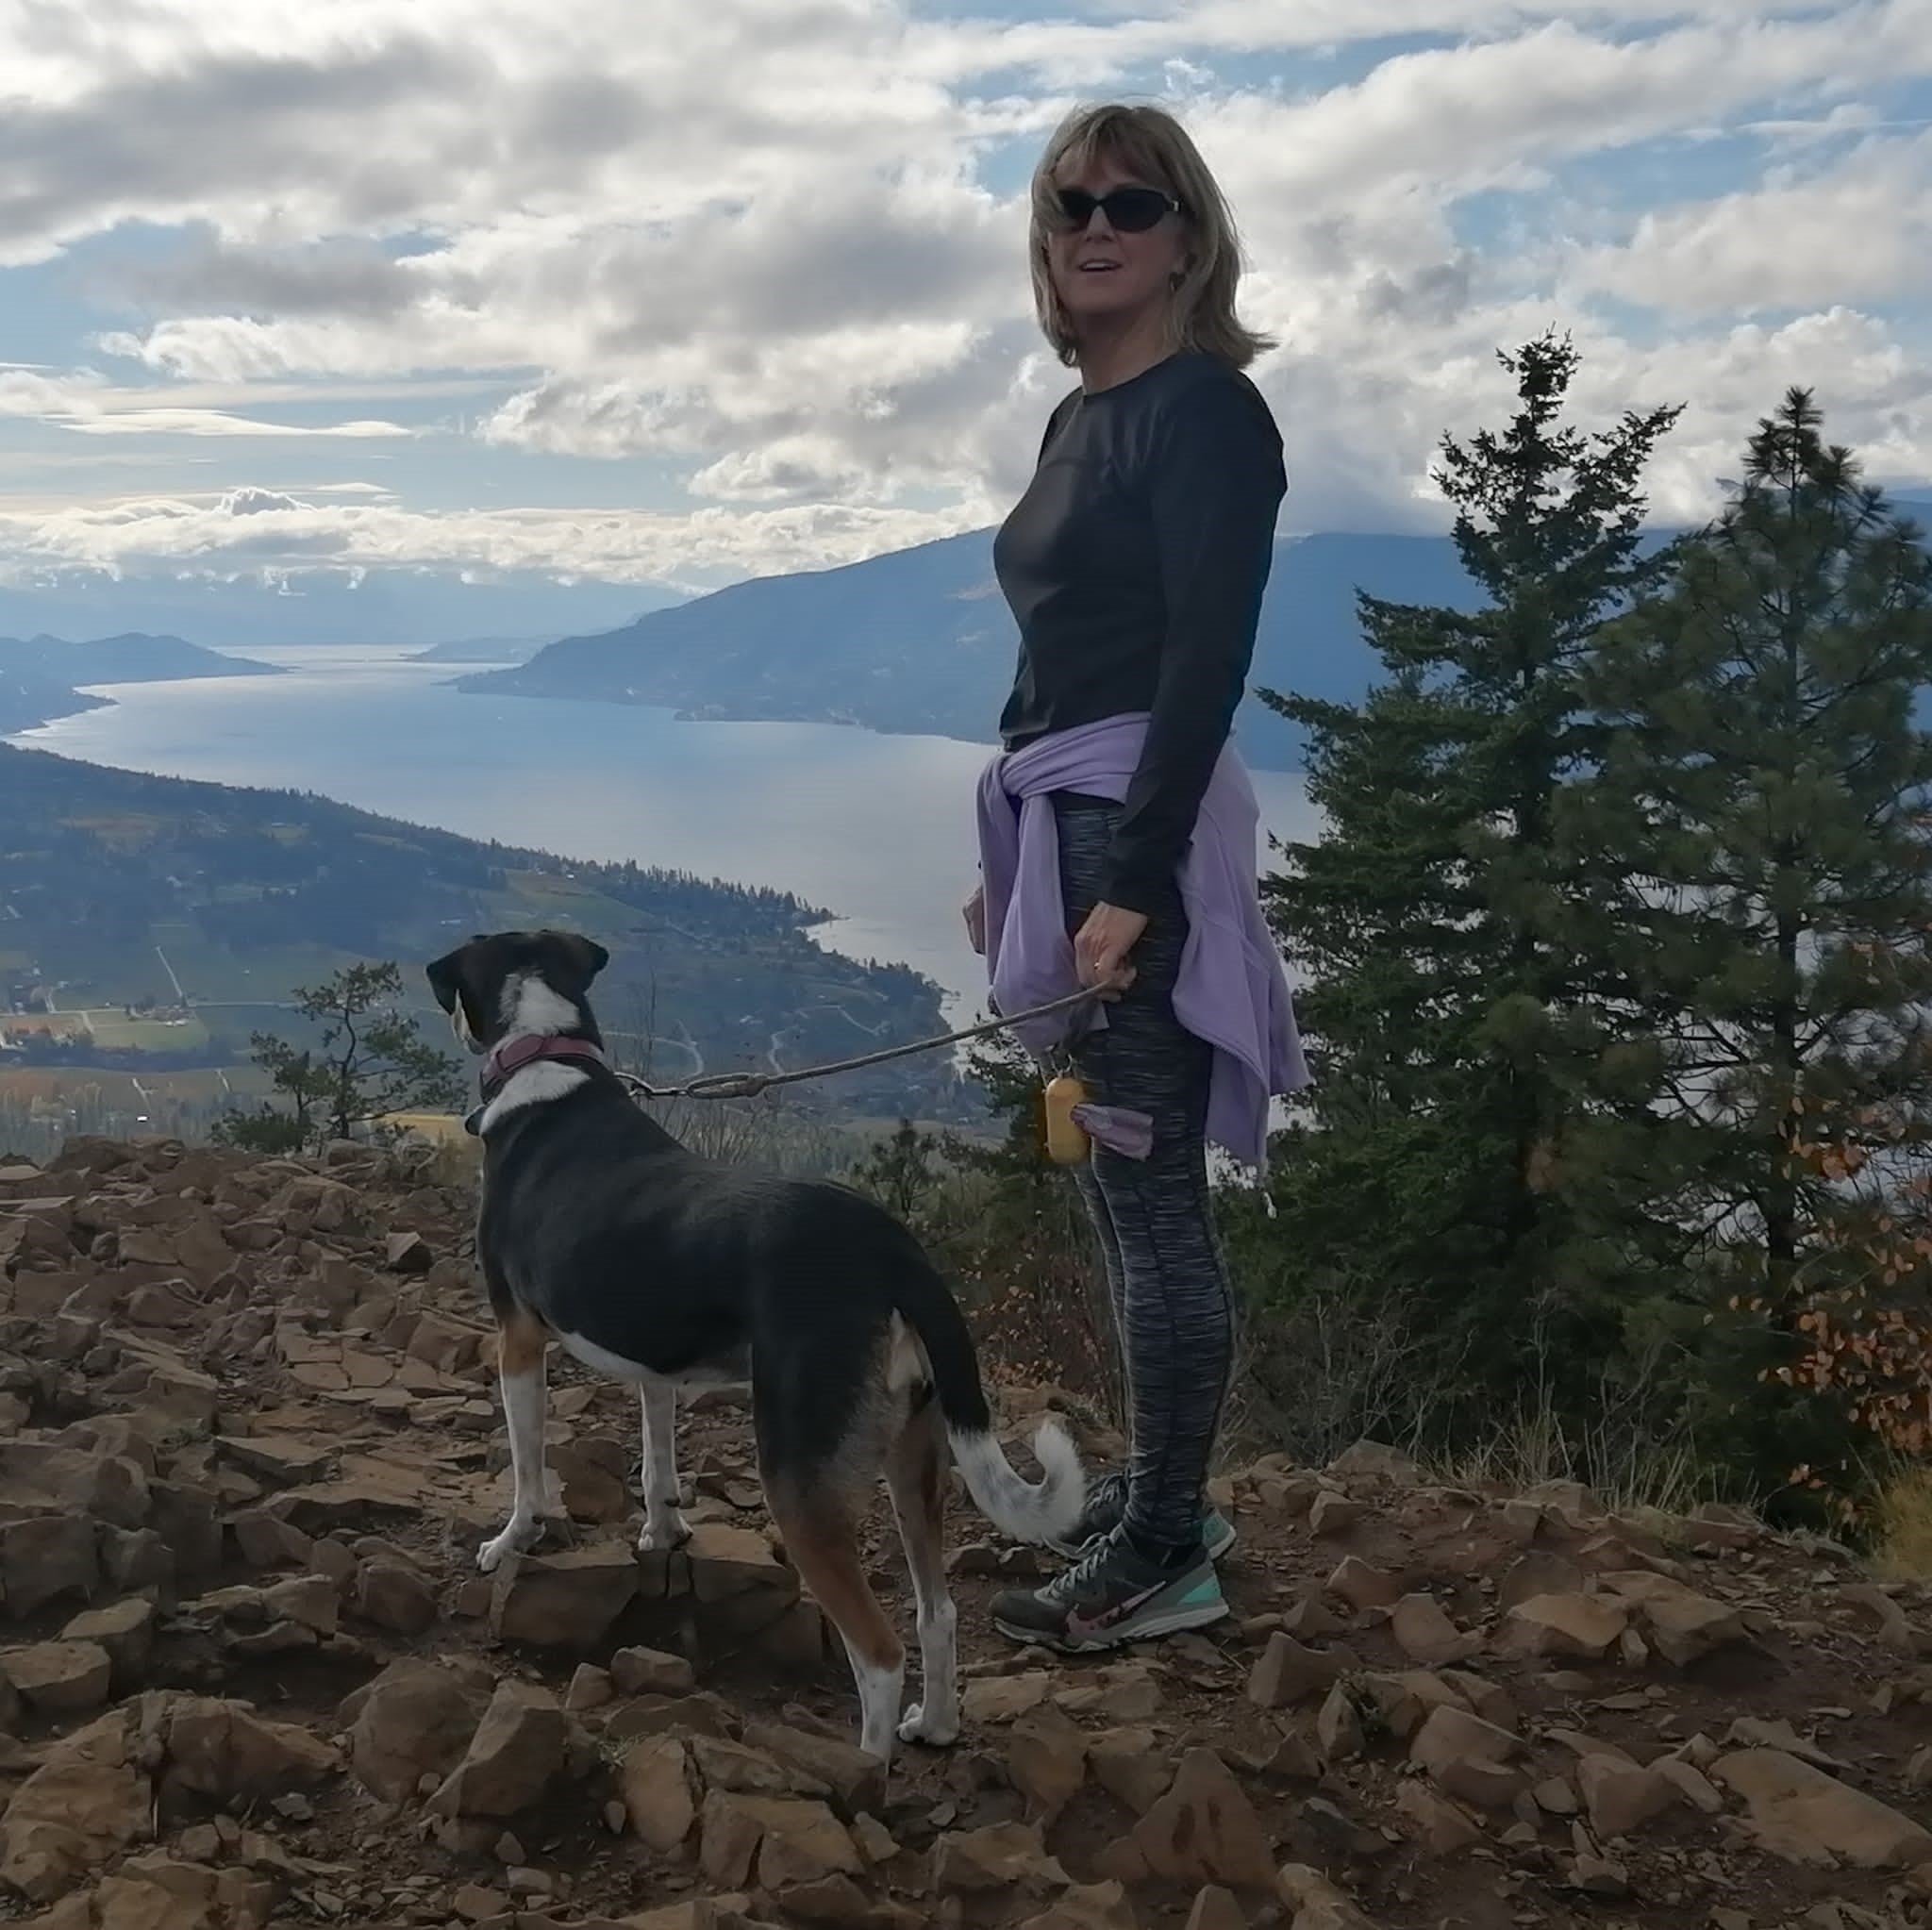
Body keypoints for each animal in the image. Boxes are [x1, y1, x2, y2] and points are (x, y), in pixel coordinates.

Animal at [426, 931, 1090, 1770]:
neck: (547, 1054)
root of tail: (895, 1254)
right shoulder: (654, 1364)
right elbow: (658, 1462)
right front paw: (662, 1533)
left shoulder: (517, 1339)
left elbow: (527, 1470)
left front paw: (511, 1540)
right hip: (916, 1453)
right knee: (936, 1614)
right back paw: (933, 1727)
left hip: (798, 1475)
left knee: (878, 1653)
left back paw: (862, 1770)